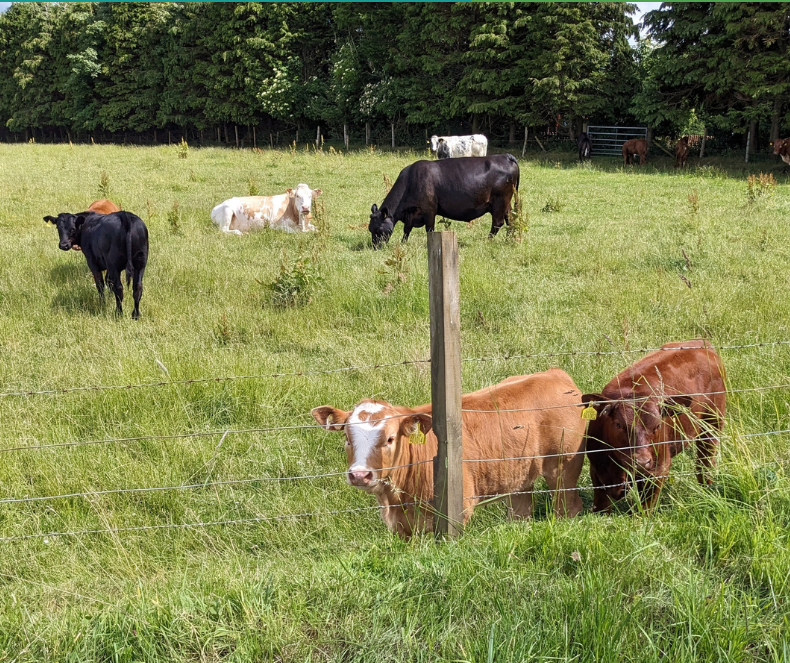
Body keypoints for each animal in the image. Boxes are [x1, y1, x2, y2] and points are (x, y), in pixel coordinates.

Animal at [312, 368, 592, 540]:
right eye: (347, 439)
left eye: (390, 439)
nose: (360, 475)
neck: (396, 499)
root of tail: (555, 374)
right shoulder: (401, 526)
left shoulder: (457, 511)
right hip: (519, 475)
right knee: (521, 513)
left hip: (563, 468)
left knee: (568, 507)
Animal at [370, 154, 520, 248]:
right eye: (370, 229)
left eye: (378, 230)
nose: (375, 247)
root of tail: (505, 156)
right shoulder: (412, 212)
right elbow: (407, 229)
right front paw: (403, 243)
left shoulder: (429, 210)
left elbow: (429, 229)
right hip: (506, 202)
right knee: (511, 219)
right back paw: (510, 239)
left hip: (500, 201)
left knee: (497, 223)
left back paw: (488, 241)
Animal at [580, 340, 732, 516]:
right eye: (618, 424)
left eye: (658, 425)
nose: (641, 461)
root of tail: (701, 342)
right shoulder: (598, 467)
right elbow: (601, 503)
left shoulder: (658, 467)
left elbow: (646, 504)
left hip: (713, 422)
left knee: (705, 459)